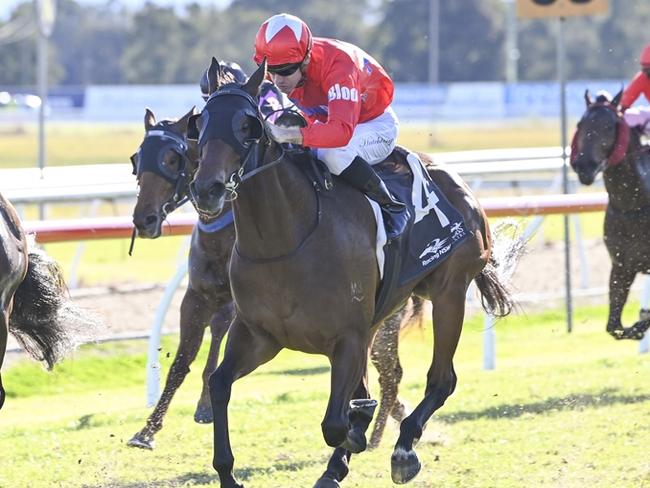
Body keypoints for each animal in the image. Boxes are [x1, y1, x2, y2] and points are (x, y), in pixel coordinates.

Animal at [128, 101, 420, 452]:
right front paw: (148, 429)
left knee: (390, 373)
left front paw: (204, 406)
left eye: (172, 158)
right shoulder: (199, 295)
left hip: (382, 320)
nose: (144, 219)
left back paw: (377, 434)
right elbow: (183, 360)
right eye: (137, 158)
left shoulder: (235, 305)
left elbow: (216, 341)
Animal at [190, 59, 512, 486]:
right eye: (201, 123)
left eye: (248, 125)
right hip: (382, 316)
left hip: (448, 293)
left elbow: (335, 424)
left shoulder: (346, 338)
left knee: (442, 379)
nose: (206, 190)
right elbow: (219, 385)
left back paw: (403, 450)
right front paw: (228, 472)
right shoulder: (260, 336)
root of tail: (458, 183)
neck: (285, 240)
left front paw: (359, 433)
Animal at [568, 88, 648, 340]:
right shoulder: (622, 267)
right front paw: (638, 326)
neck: (632, 205)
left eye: (609, 126)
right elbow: (614, 327)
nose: (584, 166)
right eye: (580, 123)